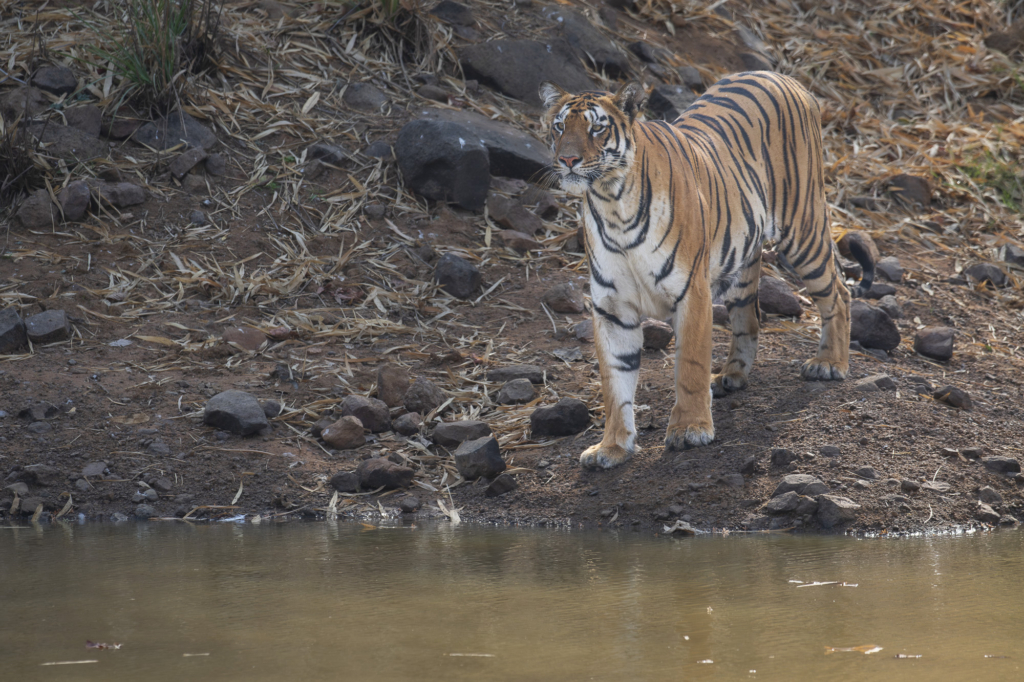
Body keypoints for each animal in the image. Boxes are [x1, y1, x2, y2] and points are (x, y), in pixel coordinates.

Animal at [540, 73, 876, 466]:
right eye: (560, 126)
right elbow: (614, 382)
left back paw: (829, 363)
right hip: (742, 262)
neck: (612, 202)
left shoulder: (691, 293)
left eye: (597, 128)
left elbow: (690, 365)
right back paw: (731, 375)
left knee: (839, 293)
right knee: (749, 317)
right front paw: (612, 446)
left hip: (803, 230)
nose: (568, 159)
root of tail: (785, 77)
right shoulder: (612, 308)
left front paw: (689, 429)